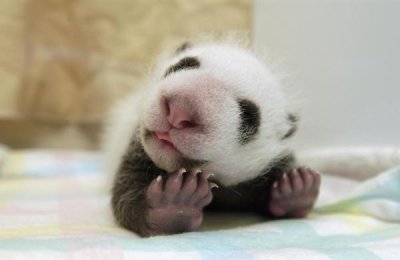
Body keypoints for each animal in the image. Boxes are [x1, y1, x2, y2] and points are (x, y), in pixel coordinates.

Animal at [102, 41, 318, 238]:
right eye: (182, 65)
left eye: (248, 115)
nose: (179, 110)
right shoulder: (137, 147)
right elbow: (127, 190)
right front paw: (172, 205)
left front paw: (296, 188)